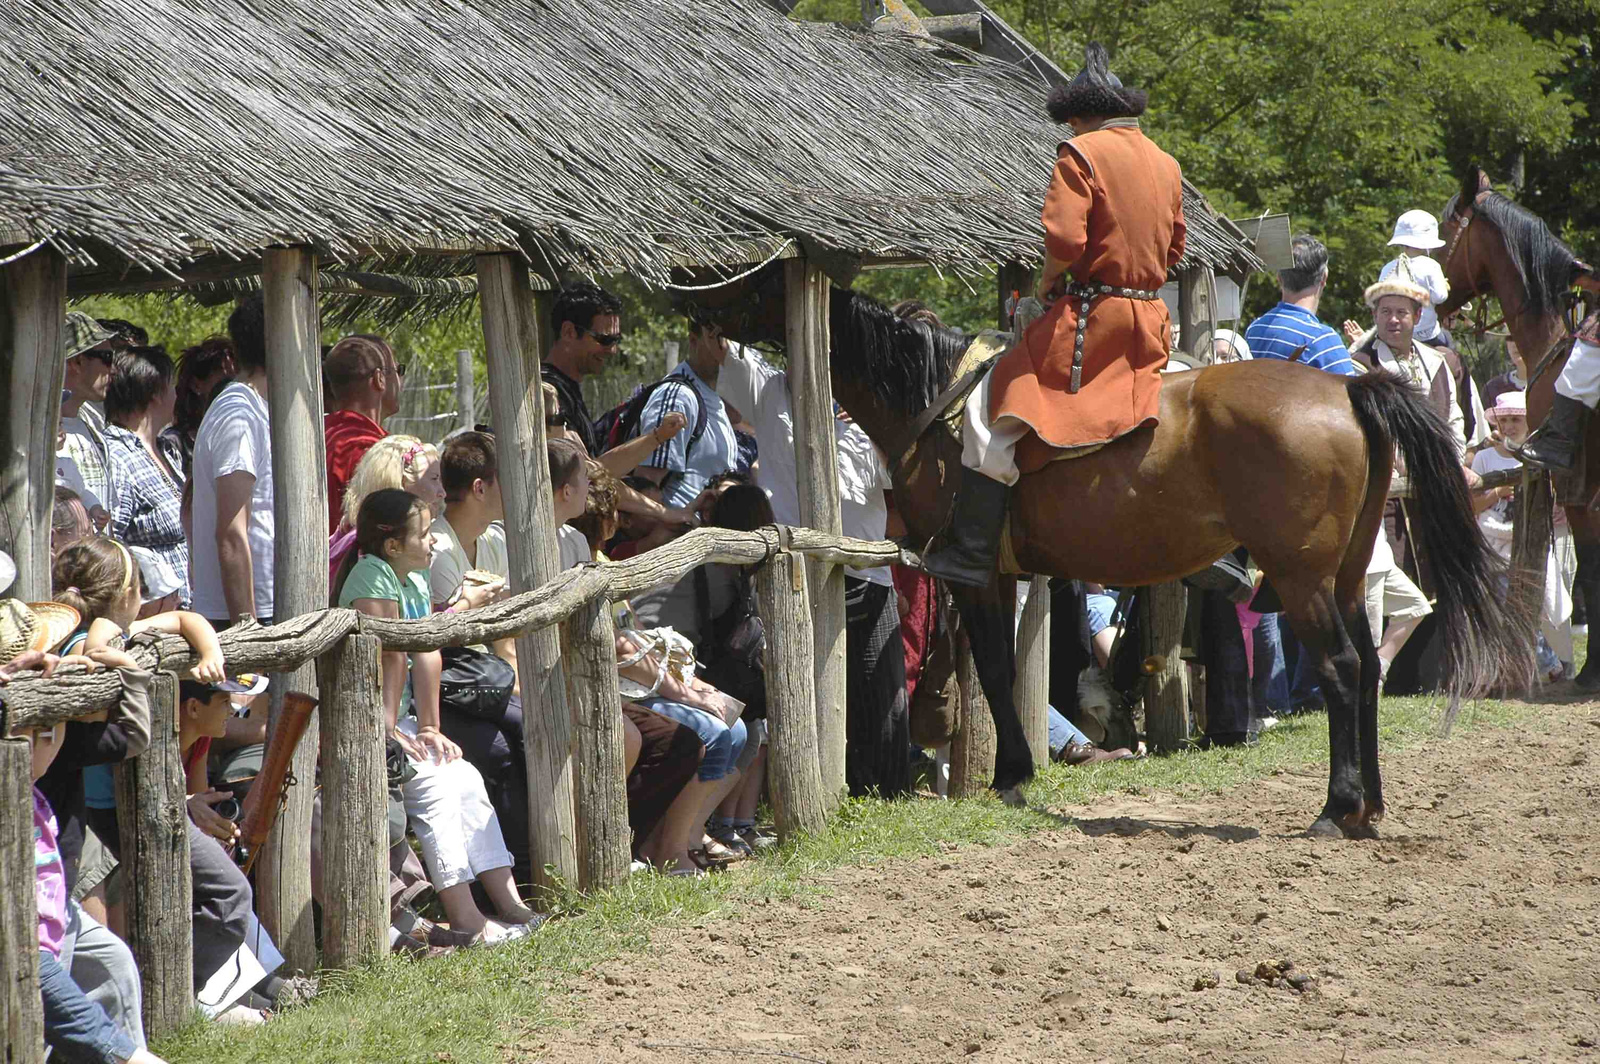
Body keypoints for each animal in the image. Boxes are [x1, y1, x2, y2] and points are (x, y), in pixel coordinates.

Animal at [697, 270, 1523, 832]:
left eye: (758, 282)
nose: (697, 306)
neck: (932, 401)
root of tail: (1348, 392)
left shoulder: (976, 575)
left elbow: (995, 671)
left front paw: (1011, 774)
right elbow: (1004, 671)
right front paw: (1017, 769)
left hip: (1302, 579)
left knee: (1347, 669)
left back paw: (1336, 806)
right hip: (1343, 576)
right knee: (1369, 663)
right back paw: (1370, 804)